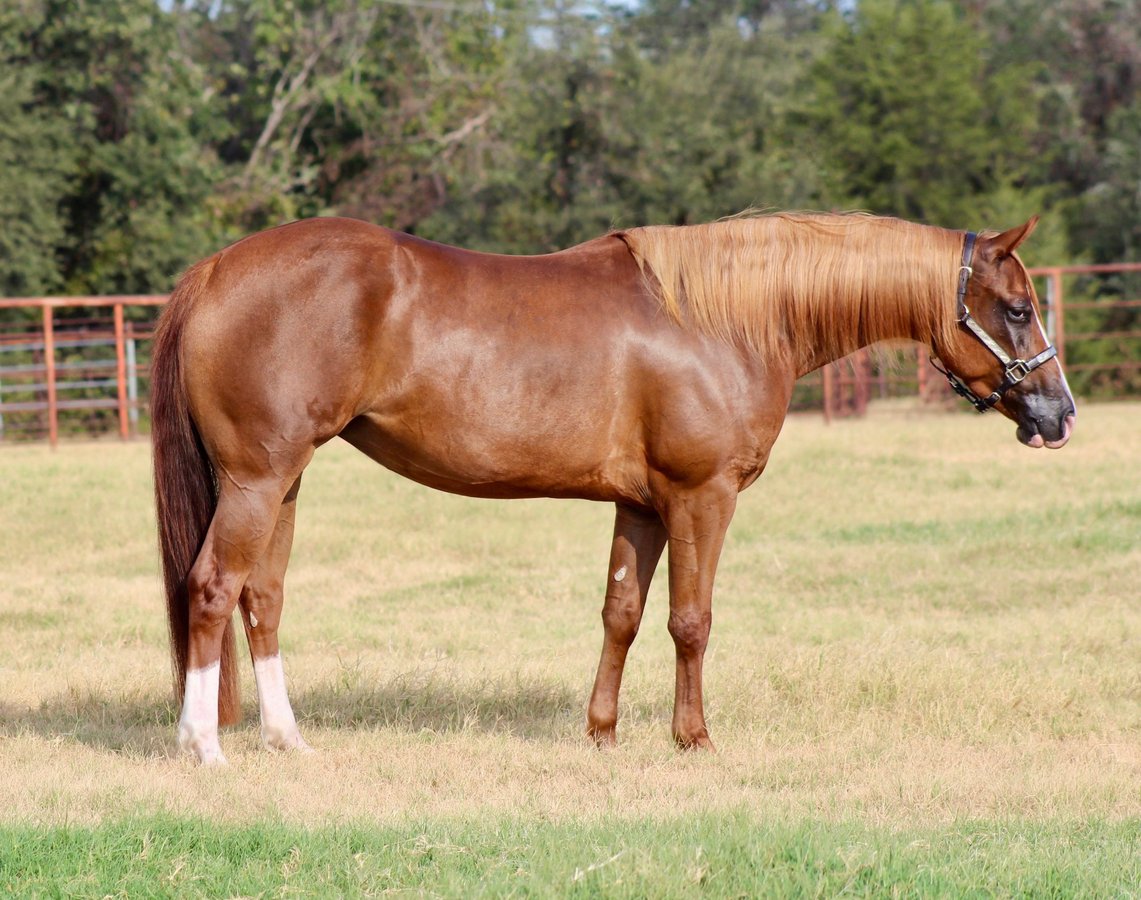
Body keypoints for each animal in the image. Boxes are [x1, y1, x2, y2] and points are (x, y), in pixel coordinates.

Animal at [151, 211, 1075, 764]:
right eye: (1018, 308)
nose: (1058, 413)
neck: (724, 318)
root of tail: (216, 268)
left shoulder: (641, 504)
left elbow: (621, 613)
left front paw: (600, 732)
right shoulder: (702, 496)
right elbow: (690, 621)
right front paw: (692, 737)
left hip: (285, 483)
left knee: (262, 598)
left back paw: (287, 739)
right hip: (257, 479)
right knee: (212, 589)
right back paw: (203, 744)